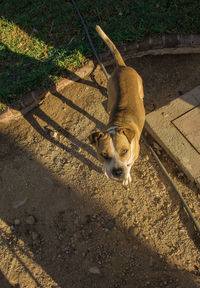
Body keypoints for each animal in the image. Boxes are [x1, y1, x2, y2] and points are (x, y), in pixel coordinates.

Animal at [89, 25, 145, 187]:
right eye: (104, 155)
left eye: (124, 151)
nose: (118, 172)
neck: (118, 124)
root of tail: (122, 66)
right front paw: (105, 169)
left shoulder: (134, 156)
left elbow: (129, 165)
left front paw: (126, 177)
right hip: (110, 96)